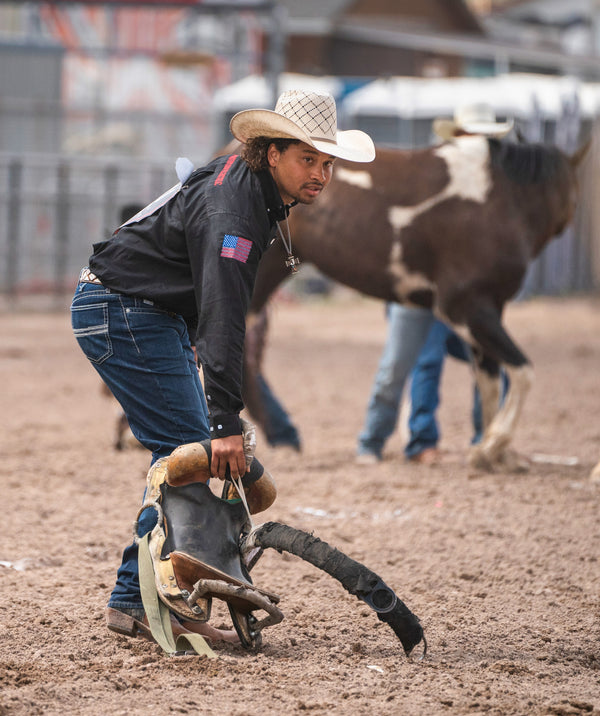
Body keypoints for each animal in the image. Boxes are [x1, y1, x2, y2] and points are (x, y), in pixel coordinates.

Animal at [241, 136, 588, 470]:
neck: (502, 201)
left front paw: (495, 456)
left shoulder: (490, 308)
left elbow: (489, 382)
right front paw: (493, 445)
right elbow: (523, 372)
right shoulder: (464, 307)